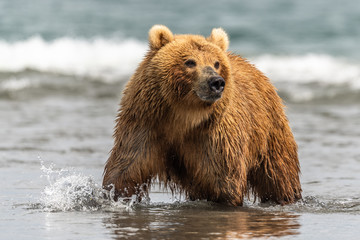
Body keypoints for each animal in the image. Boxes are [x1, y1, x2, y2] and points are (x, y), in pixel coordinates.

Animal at [102, 24, 302, 206]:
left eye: (216, 63)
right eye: (190, 62)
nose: (216, 82)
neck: (183, 115)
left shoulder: (214, 136)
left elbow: (223, 181)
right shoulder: (146, 123)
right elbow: (127, 168)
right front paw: (113, 195)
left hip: (270, 132)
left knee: (278, 174)